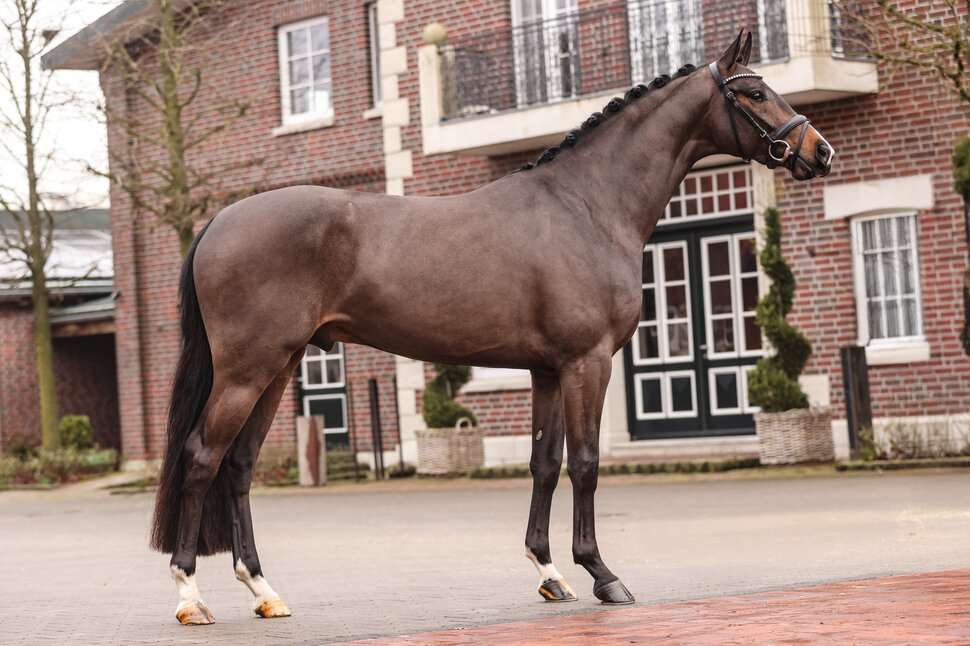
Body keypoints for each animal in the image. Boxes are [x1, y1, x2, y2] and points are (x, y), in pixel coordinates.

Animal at [151, 29, 834, 625]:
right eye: (754, 92)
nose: (819, 151)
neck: (586, 206)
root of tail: (218, 222)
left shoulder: (547, 371)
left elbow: (545, 463)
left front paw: (550, 573)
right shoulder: (588, 362)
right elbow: (586, 463)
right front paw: (602, 574)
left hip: (280, 367)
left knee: (239, 465)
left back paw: (264, 590)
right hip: (248, 369)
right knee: (203, 456)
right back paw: (189, 595)